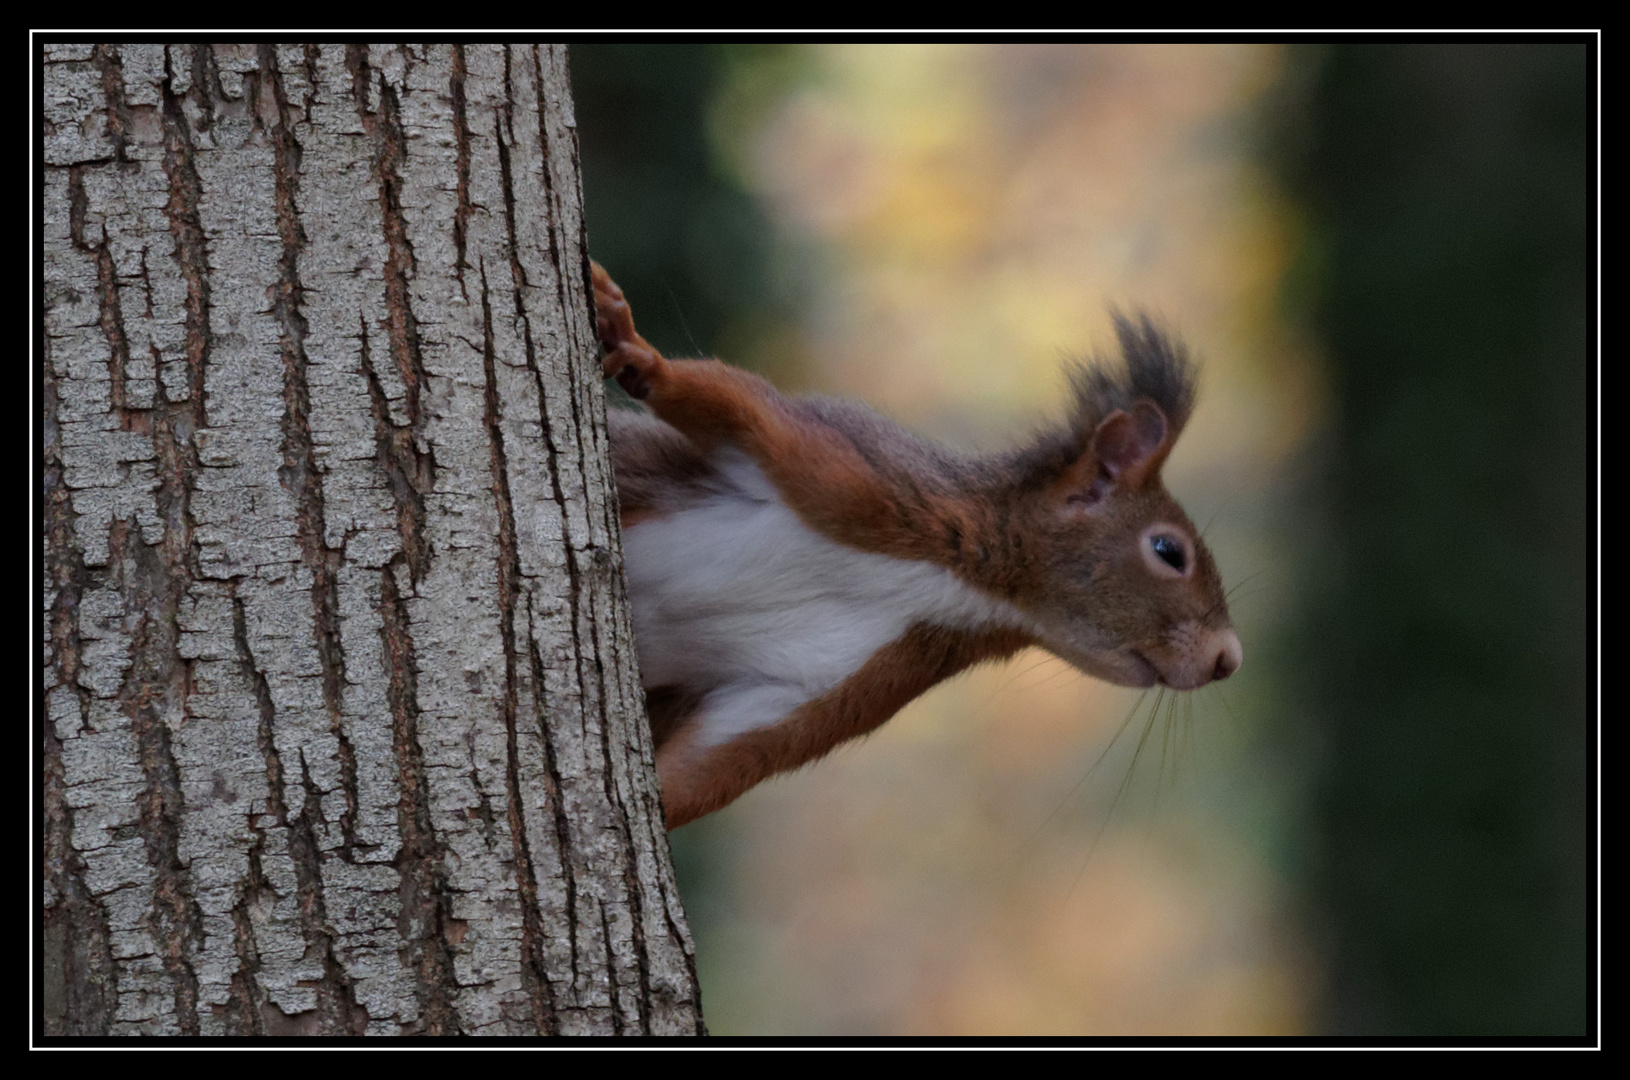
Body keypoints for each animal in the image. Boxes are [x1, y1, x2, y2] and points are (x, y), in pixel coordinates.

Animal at [593, 262, 1238, 827]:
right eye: (1169, 552)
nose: (1227, 659)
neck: (956, 583)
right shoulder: (856, 471)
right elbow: (733, 404)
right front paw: (635, 347)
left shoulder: (834, 683)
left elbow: (713, 770)